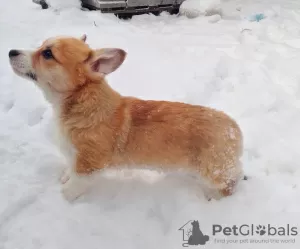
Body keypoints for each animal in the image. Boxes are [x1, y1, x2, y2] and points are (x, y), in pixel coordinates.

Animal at [8, 34, 245, 202]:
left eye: (47, 53)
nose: (11, 51)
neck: (79, 100)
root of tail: (235, 129)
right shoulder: (74, 156)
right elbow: (70, 169)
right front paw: (65, 176)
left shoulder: (90, 162)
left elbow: (77, 183)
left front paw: (65, 194)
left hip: (213, 171)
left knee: (230, 184)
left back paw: (213, 197)